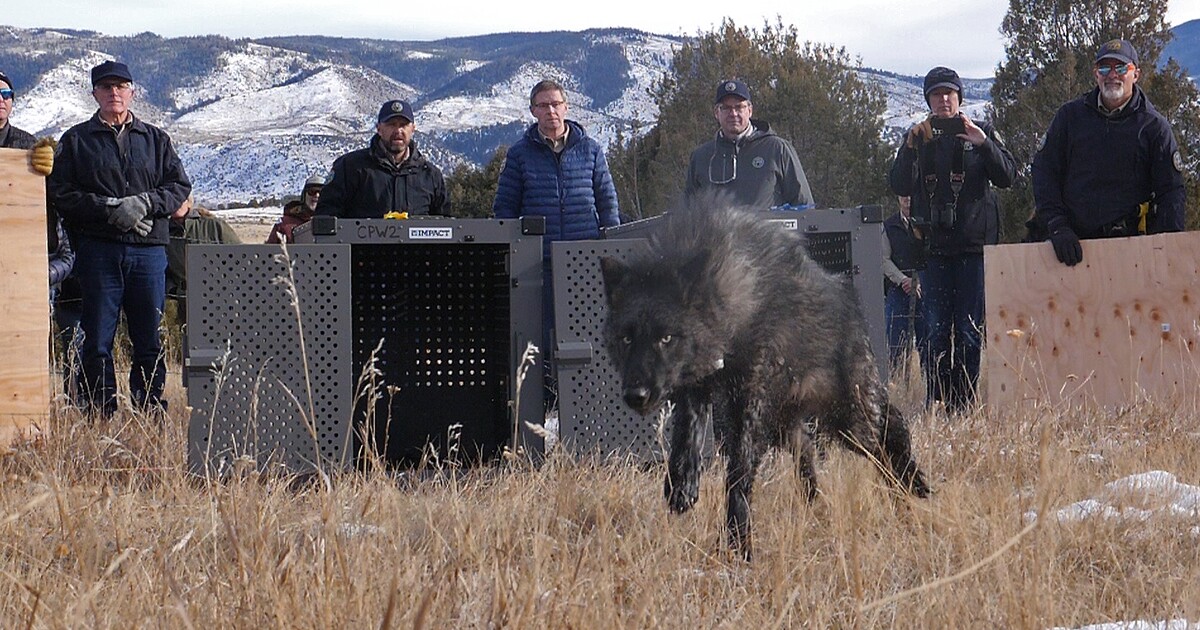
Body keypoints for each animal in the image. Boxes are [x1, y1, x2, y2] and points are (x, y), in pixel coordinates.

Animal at [600, 207, 930, 560]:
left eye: (666, 338)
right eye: (626, 339)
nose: (636, 395)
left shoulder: (750, 403)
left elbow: (739, 473)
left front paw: (739, 542)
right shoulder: (697, 388)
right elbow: (687, 438)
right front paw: (683, 486)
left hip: (851, 421)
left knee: (891, 434)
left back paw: (913, 487)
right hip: (790, 425)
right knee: (809, 450)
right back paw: (817, 505)